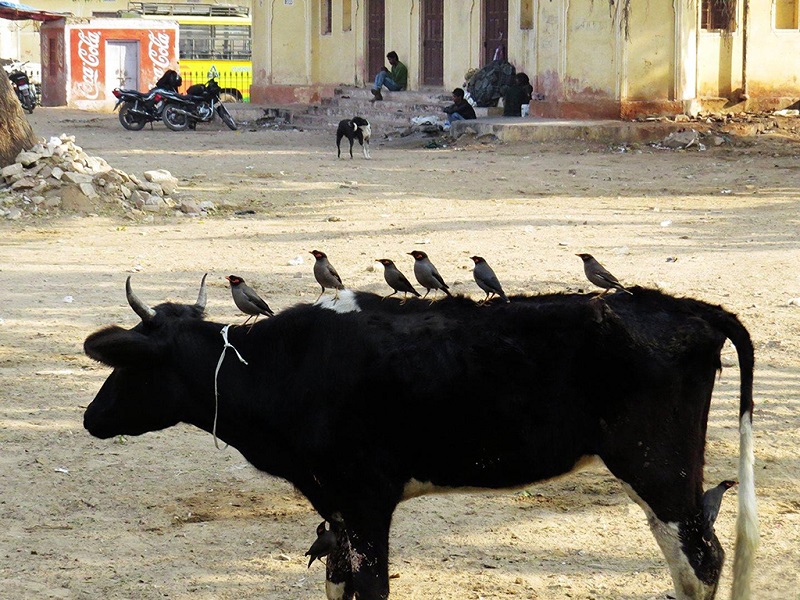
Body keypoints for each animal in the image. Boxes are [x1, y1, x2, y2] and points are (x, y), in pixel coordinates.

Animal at [84, 278, 760, 600]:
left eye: (130, 365)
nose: (91, 417)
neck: (282, 364)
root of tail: (686, 307)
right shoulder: (335, 508)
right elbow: (338, 581)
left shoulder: (364, 500)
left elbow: (370, 585)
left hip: (658, 469)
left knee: (700, 559)